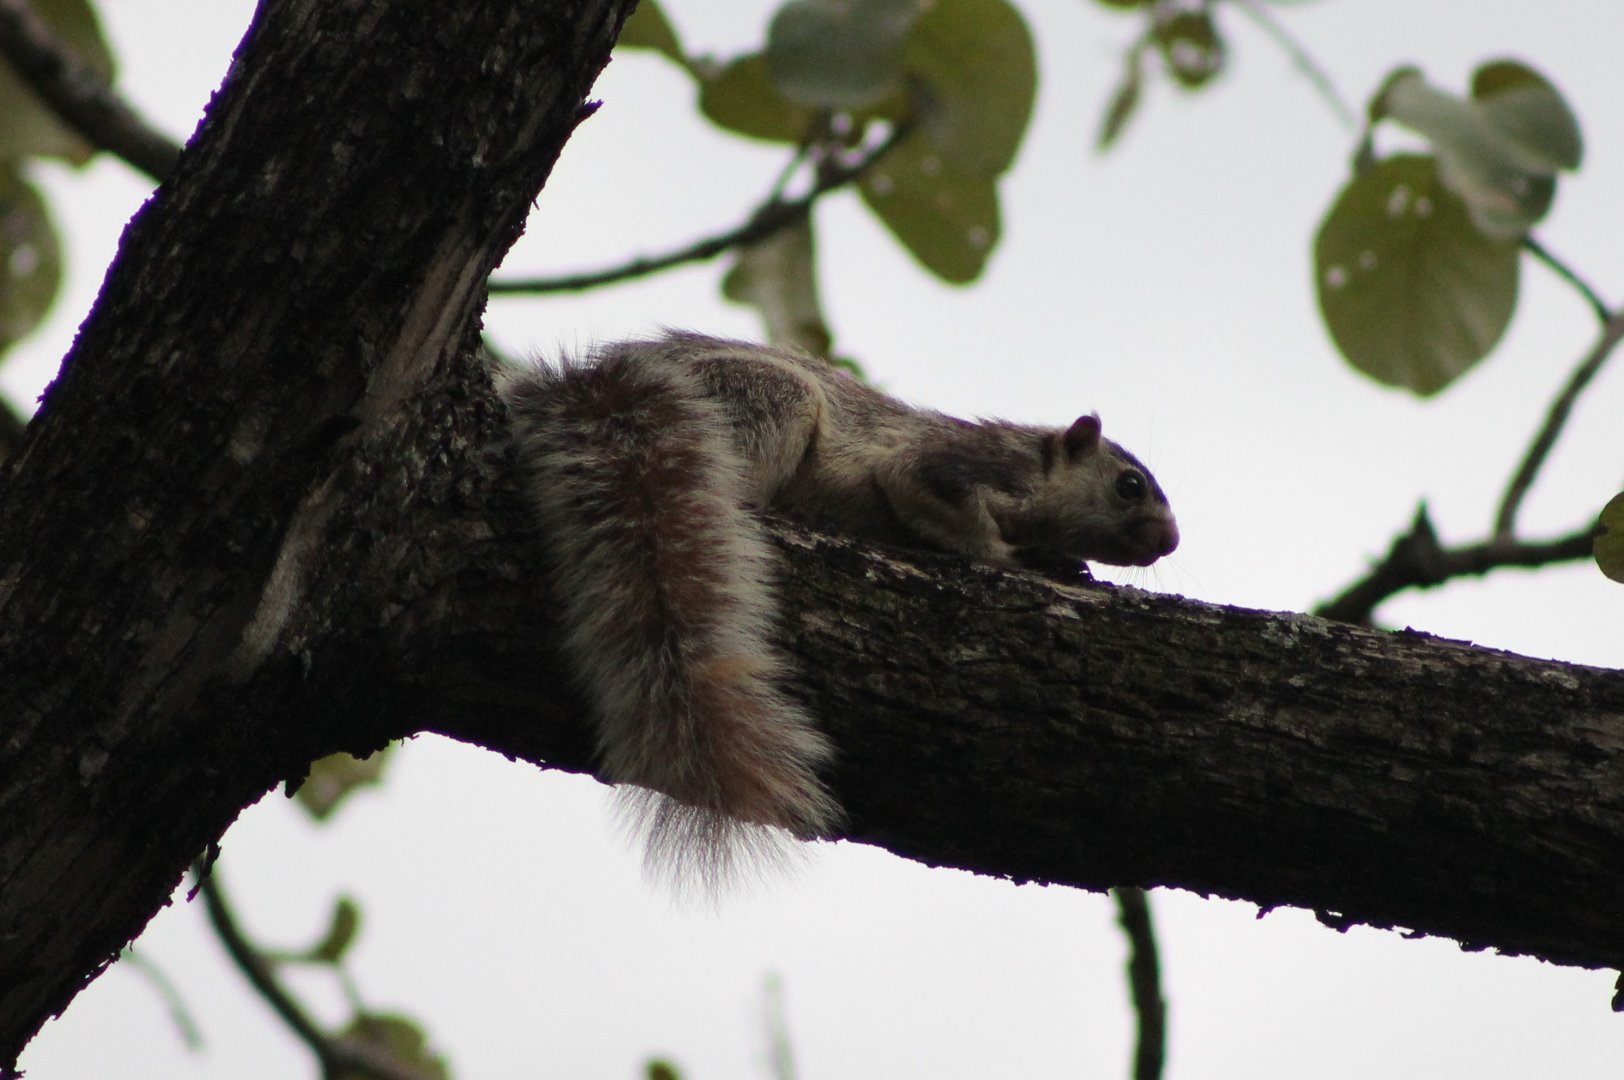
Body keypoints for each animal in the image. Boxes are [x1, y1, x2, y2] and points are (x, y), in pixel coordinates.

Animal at [500, 331, 1178, 888]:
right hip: (765, 404)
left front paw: (1067, 564)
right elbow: (937, 499)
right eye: (1129, 486)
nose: (1170, 541)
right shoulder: (947, 465)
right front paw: (1017, 560)